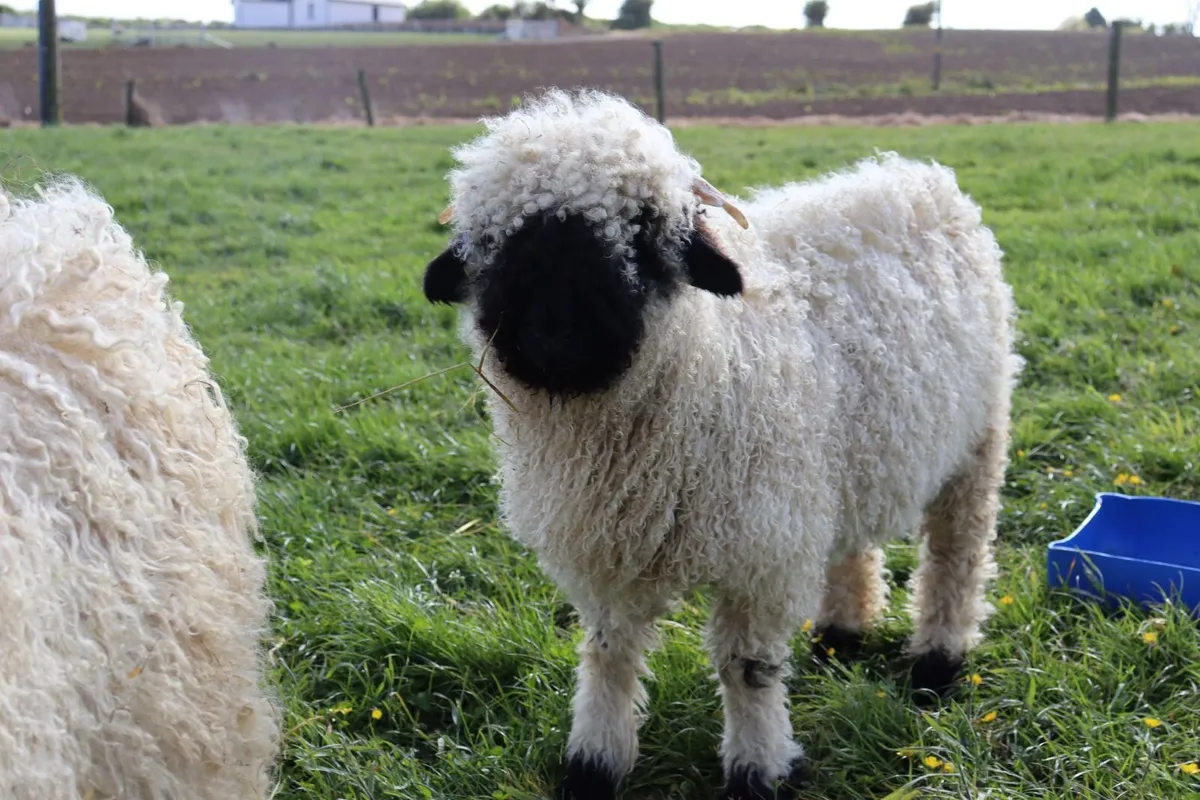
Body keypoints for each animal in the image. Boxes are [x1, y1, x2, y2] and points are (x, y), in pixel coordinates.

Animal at [422, 88, 1021, 800]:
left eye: (644, 234)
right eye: (496, 243)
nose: (556, 337)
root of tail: (919, 174)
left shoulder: (757, 557)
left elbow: (747, 669)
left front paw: (759, 770)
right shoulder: (608, 554)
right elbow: (608, 654)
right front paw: (593, 763)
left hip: (977, 442)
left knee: (957, 556)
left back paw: (937, 661)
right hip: (851, 453)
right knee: (853, 542)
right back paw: (842, 633)